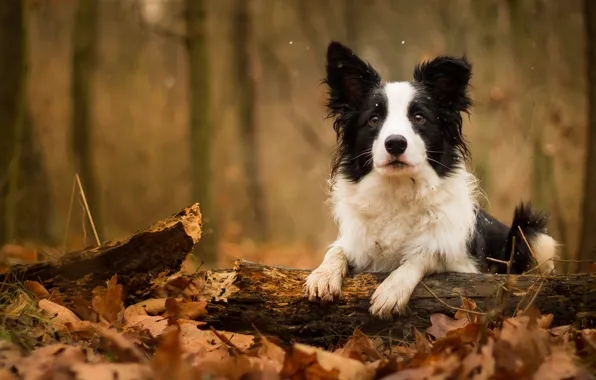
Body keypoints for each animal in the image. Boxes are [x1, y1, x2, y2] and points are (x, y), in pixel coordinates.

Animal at [304, 40, 556, 320]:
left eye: (419, 118)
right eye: (374, 119)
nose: (395, 143)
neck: (399, 189)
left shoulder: (463, 264)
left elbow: (427, 253)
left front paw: (392, 290)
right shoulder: (356, 240)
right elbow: (336, 249)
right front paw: (323, 275)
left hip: (533, 234)